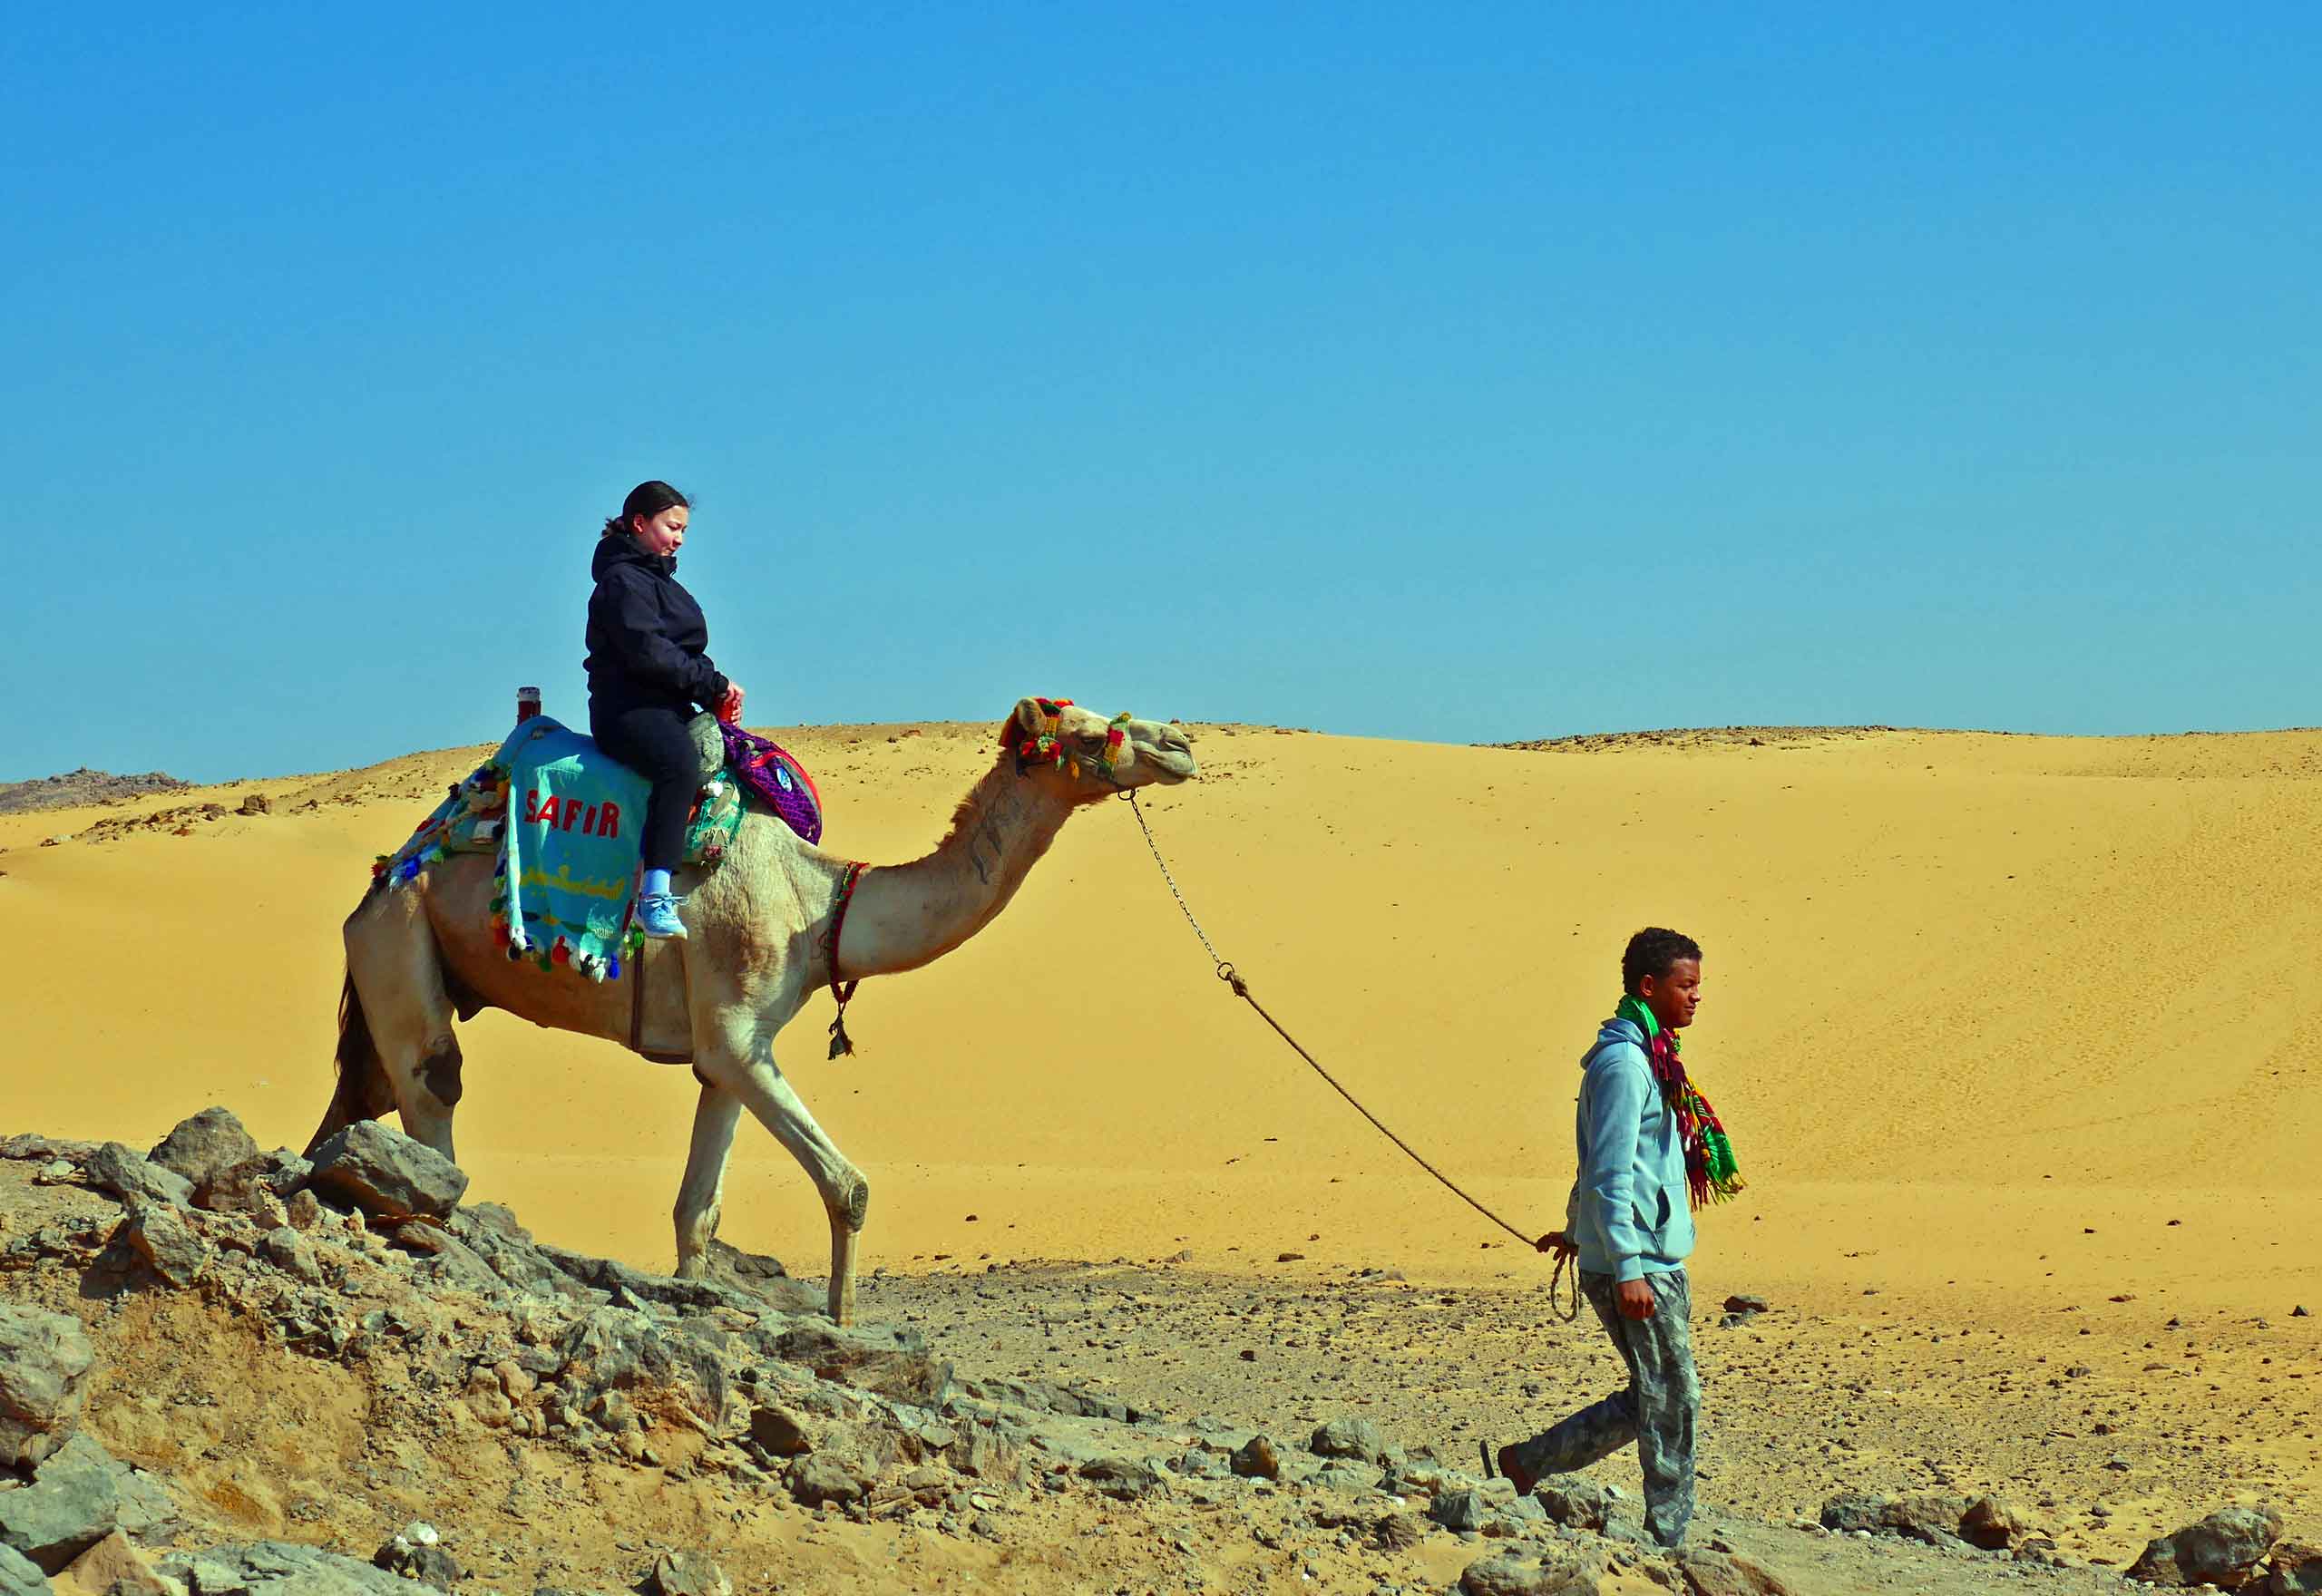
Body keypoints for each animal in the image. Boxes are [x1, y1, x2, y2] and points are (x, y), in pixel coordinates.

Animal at [309, 697, 1198, 1324]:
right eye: (1088, 733)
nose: (1180, 745)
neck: (821, 906)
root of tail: (383, 875)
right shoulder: (737, 1034)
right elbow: (849, 1187)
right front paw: (841, 1327)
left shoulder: (728, 1054)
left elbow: (697, 1212)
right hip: (401, 934)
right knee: (434, 1079)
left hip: (398, 968)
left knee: (356, 1105)